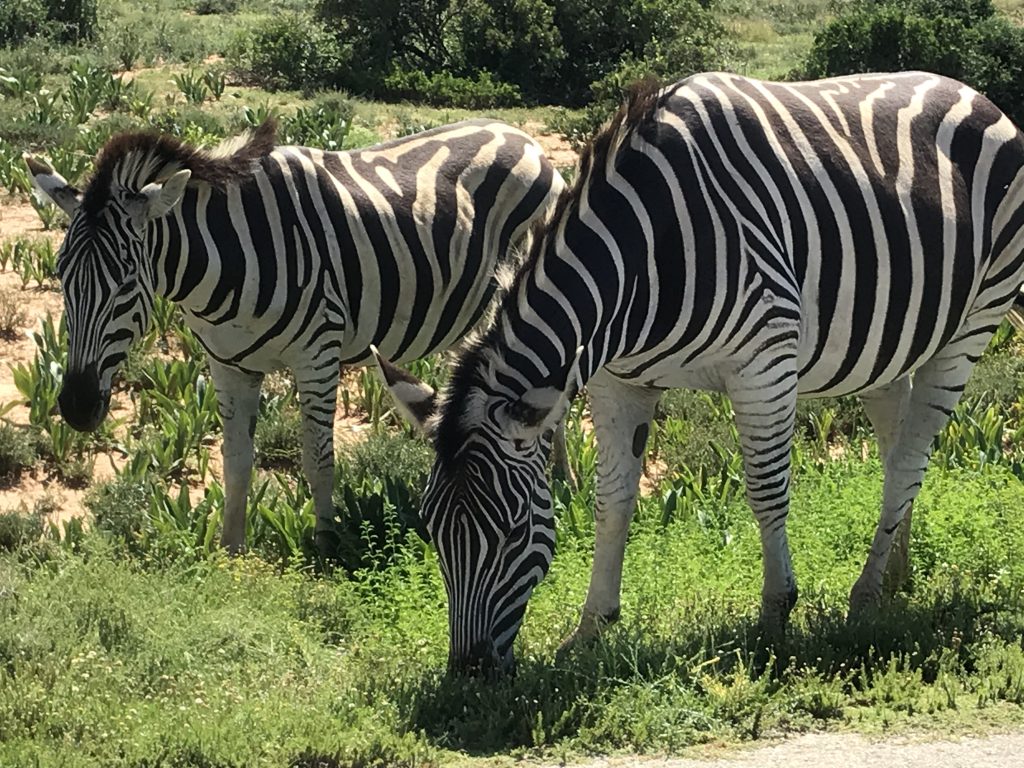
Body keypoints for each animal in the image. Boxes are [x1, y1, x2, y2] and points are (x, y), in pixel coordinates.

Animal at [25, 117, 569, 557]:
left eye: (126, 283)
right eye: (61, 276)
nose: (76, 408)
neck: (225, 258)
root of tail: (523, 137)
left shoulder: (318, 356)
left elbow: (318, 459)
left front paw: (326, 546)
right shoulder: (227, 363)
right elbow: (236, 462)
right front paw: (231, 551)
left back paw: (562, 483)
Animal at [374, 72, 1024, 671]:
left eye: (512, 531)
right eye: (430, 526)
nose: (469, 674)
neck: (640, 258)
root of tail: (972, 92)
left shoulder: (764, 364)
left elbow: (766, 492)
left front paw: (775, 614)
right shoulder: (617, 381)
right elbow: (613, 501)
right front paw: (591, 628)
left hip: (971, 326)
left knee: (911, 461)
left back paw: (864, 596)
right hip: (887, 348)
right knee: (898, 456)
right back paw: (894, 576)